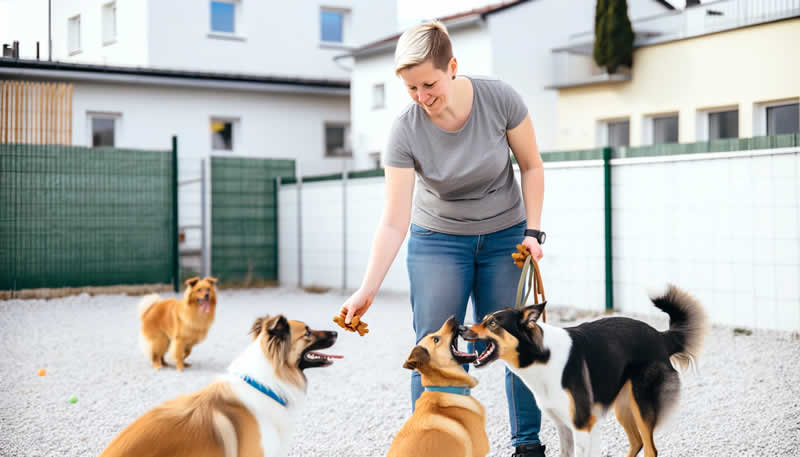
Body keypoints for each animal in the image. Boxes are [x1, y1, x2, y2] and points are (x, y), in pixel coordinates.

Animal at [460, 284, 708, 454]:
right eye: (482, 319)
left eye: (493, 323)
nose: (461, 328)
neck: (541, 356)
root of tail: (661, 336)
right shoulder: (564, 425)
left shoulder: (581, 423)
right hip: (623, 406)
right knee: (637, 442)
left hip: (641, 403)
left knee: (650, 448)